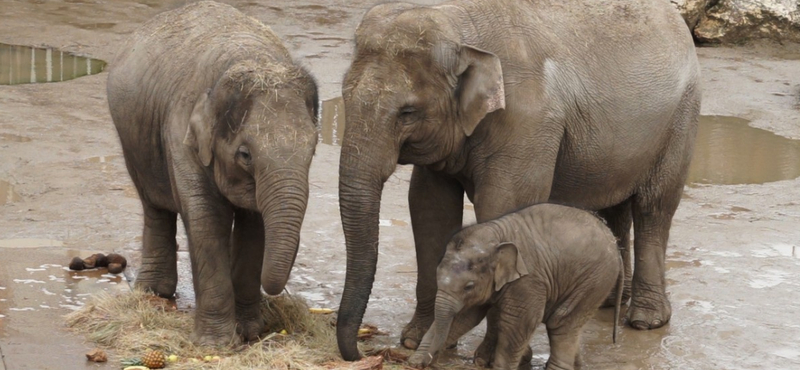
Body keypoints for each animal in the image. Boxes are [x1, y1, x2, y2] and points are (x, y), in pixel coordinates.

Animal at [106, 1, 318, 346]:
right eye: (245, 155)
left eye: (313, 149)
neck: (252, 58)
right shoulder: (180, 132)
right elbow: (206, 219)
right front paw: (215, 343)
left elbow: (254, 225)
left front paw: (249, 332)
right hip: (134, 141)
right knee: (154, 205)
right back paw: (154, 292)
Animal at [406, 202, 624, 370]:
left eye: (469, 286)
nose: (420, 362)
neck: (497, 233)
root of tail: (615, 242)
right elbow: (466, 317)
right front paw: (415, 359)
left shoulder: (529, 281)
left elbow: (519, 321)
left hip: (595, 280)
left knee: (561, 323)